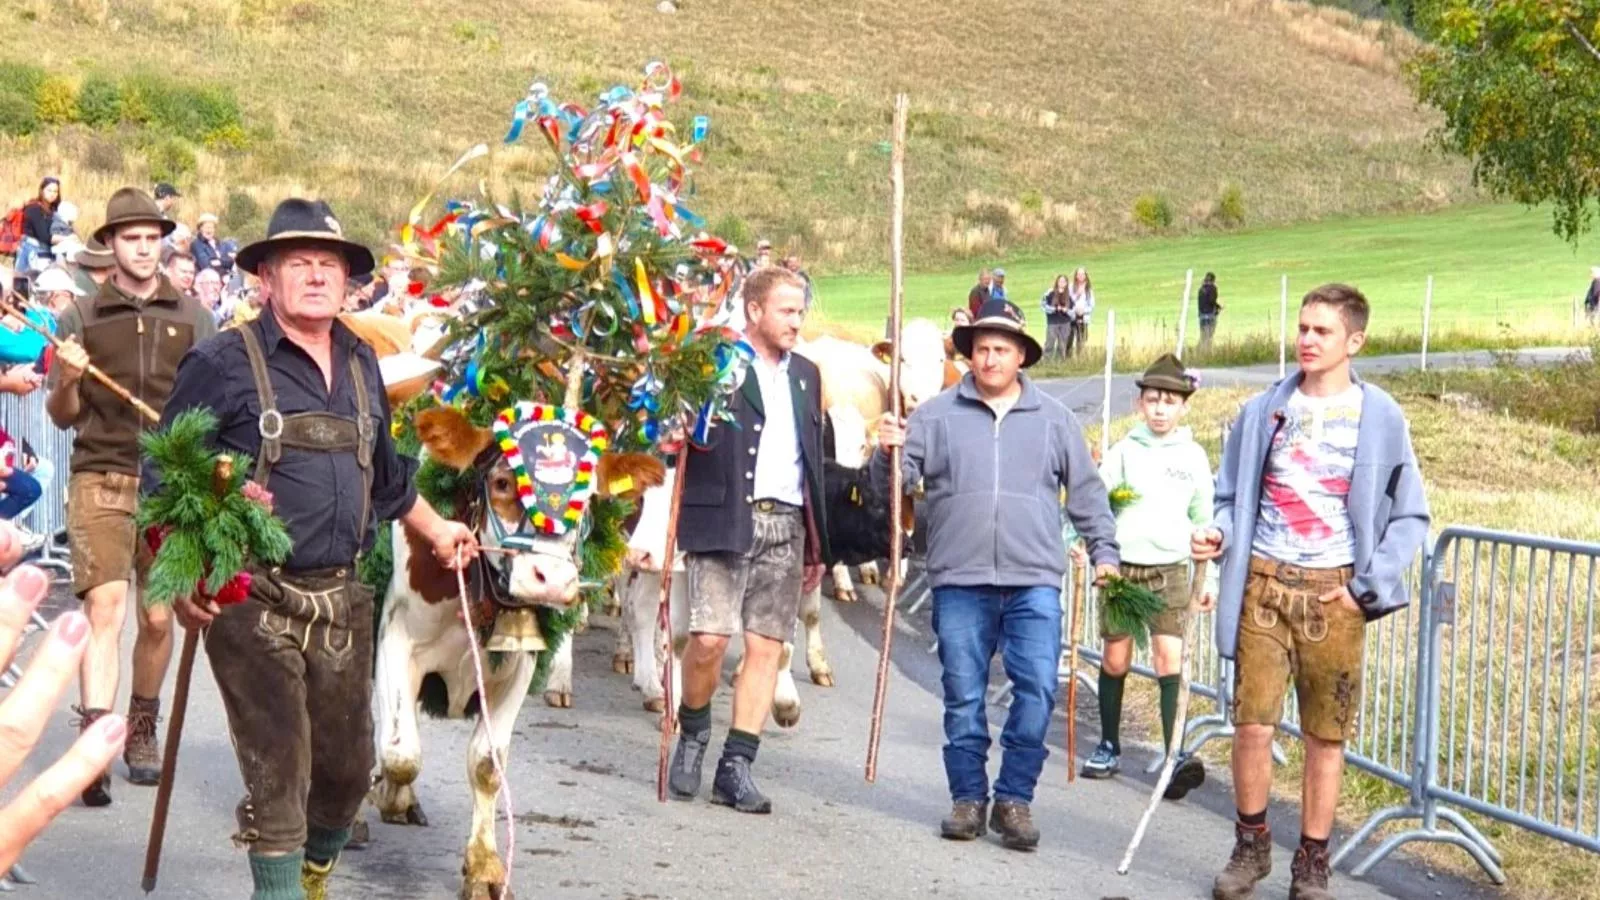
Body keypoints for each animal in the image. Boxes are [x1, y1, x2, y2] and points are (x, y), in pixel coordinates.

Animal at [371, 406, 659, 896]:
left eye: (587, 499)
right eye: (504, 482)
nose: (552, 580)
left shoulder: (520, 663)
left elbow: (487, 764)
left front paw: (484, 866)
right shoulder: (396, 638)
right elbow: (401, 753)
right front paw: (391, 795)